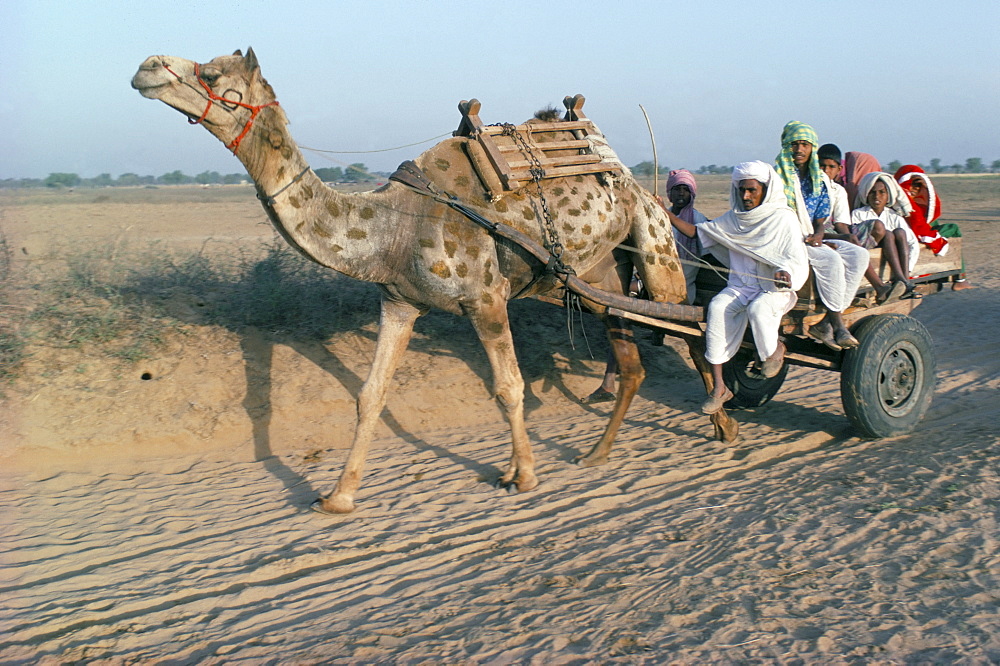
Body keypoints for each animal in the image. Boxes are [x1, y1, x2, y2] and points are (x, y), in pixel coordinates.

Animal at [131, 48, 744, 512]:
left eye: (212, 74)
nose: (146, 66)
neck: (390, 230)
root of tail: (636, 182)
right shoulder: (399, 302)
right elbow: (370, 394)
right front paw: (338, 497)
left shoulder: (487, 298)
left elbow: (509, 386)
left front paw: (523, 476)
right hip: (598, 278)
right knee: (633, 356)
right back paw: (598, 453)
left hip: (656, 246)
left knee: (689, 326)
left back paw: (723, 423)